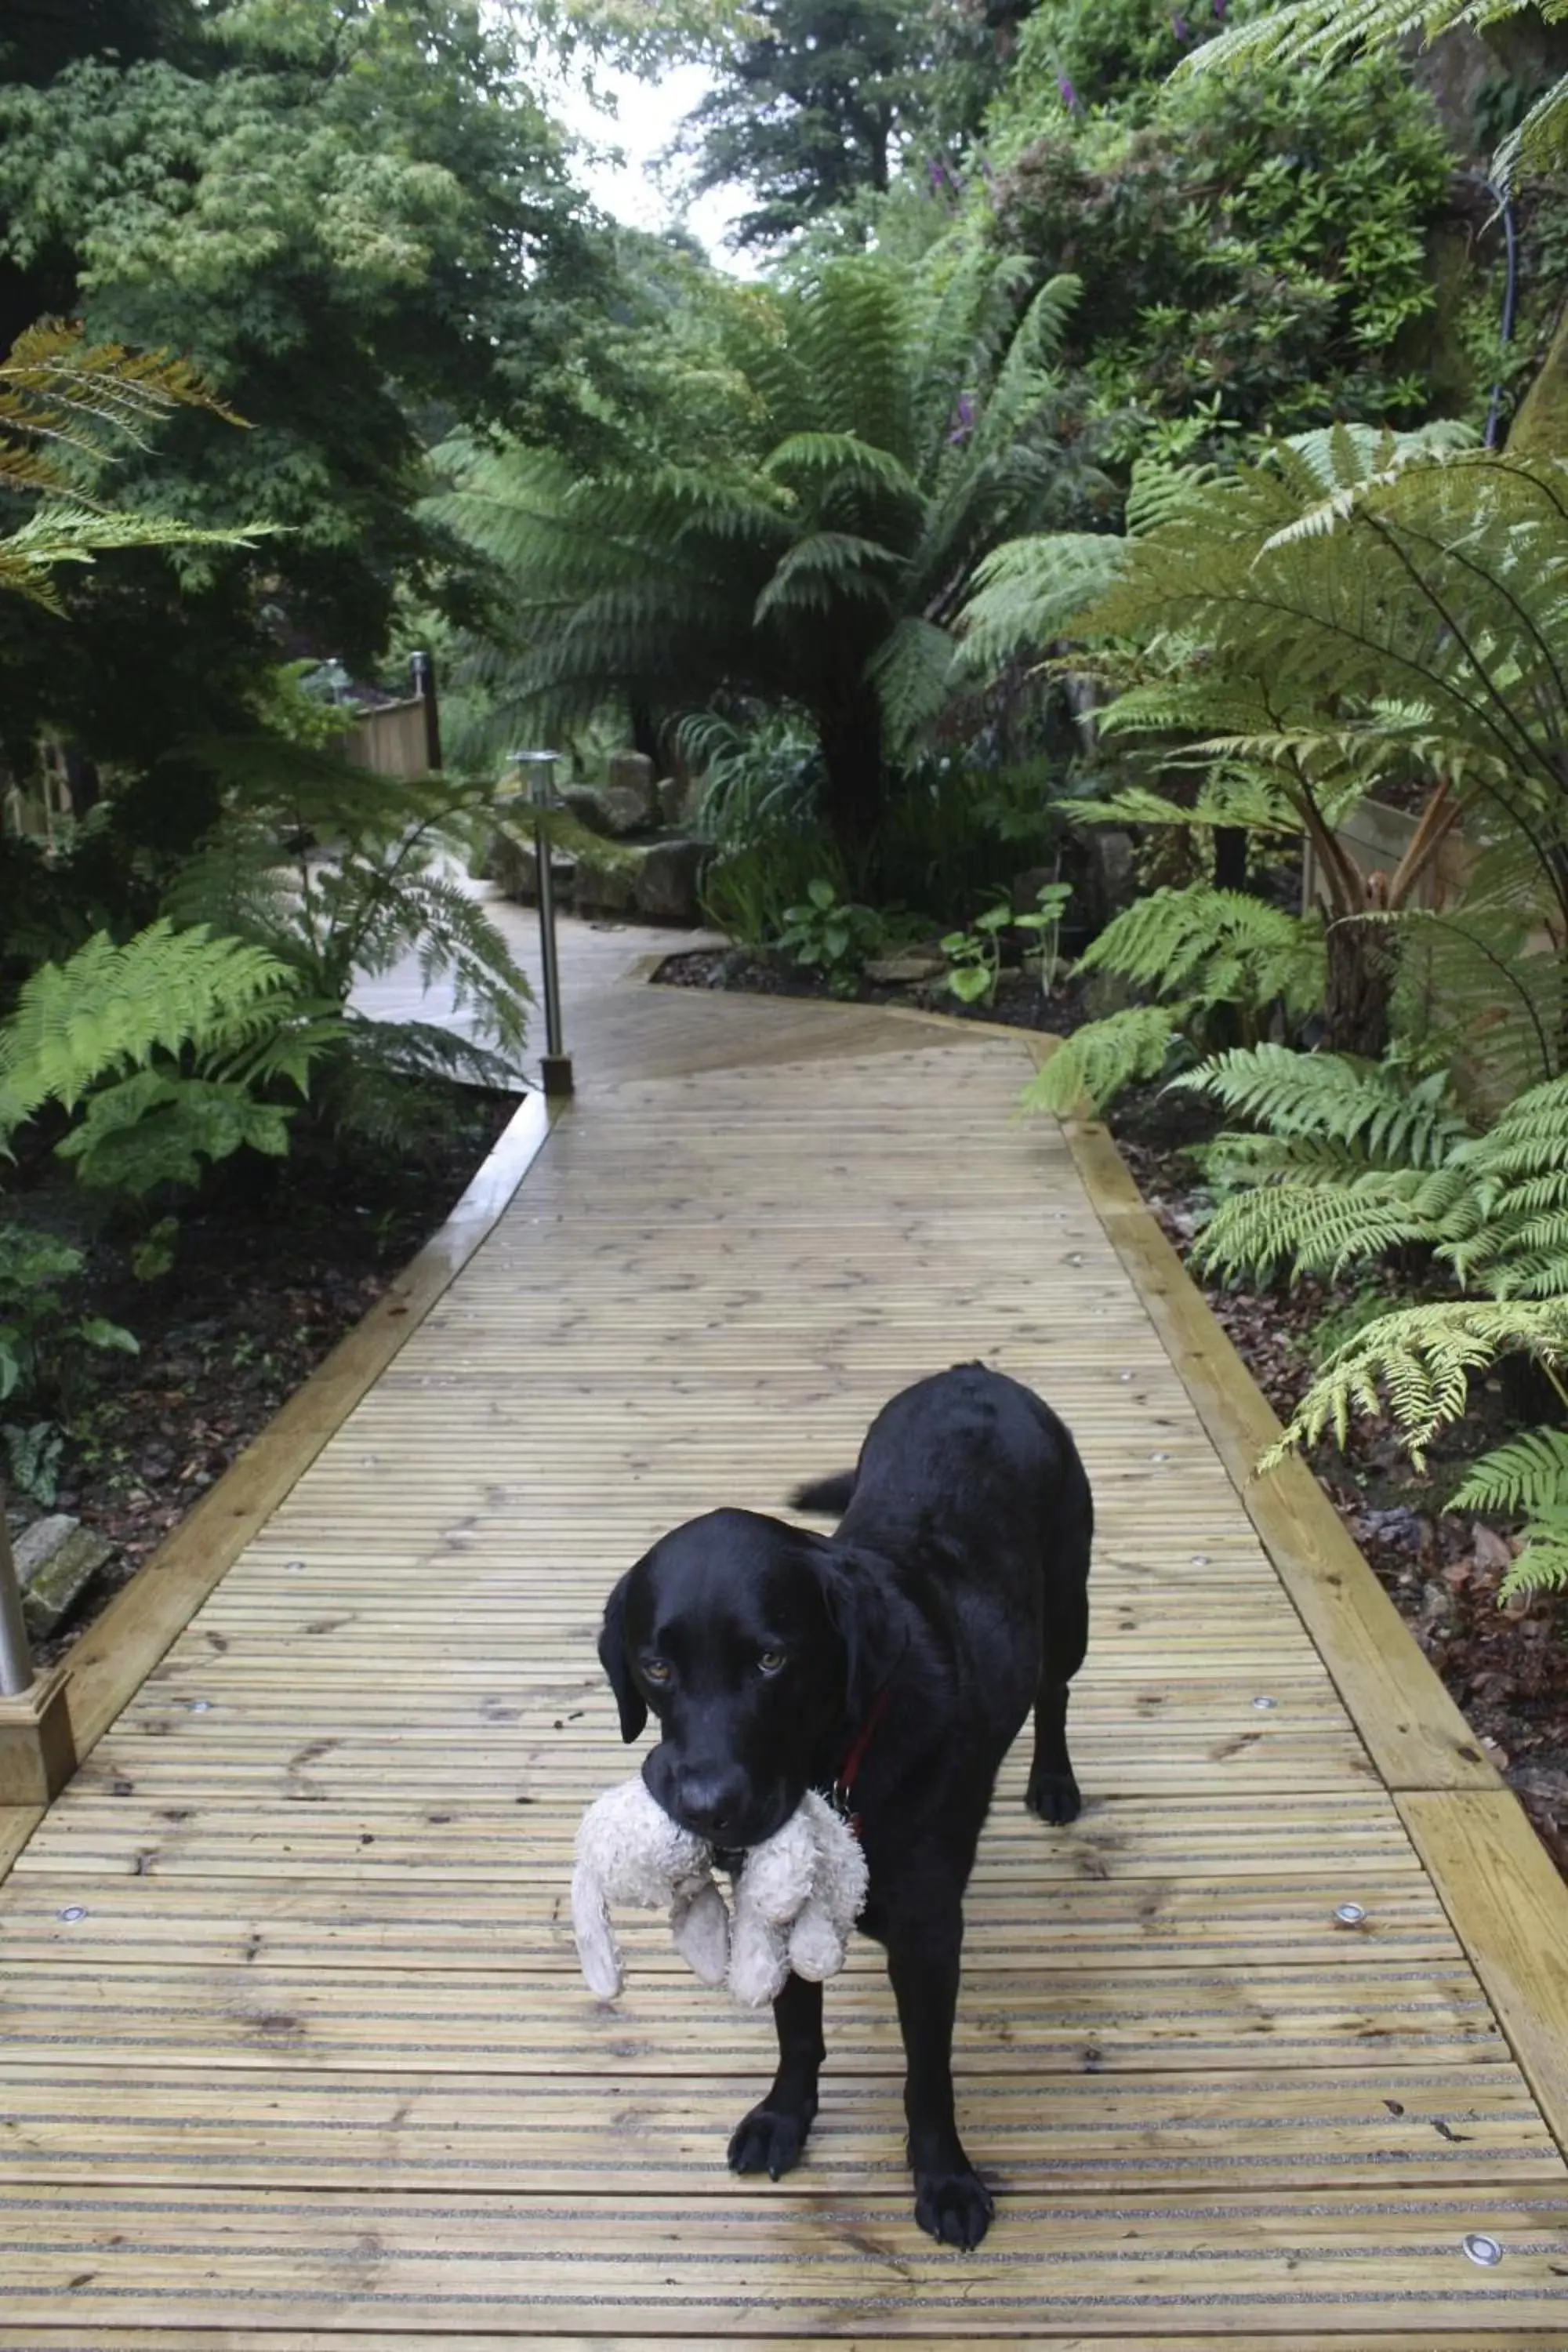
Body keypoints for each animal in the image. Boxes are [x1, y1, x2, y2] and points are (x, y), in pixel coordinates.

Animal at [594, 1364, 1100, 2239]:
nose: (706, 1806)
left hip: (1070, 1606)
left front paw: (944, 2178)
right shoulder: (774, 1895)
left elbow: (927, 2073)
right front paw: (784, 2117)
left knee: (1054, 1687)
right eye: (656, 1667)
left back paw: (1052, 1781)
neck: (838, 1765)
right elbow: (796, 2028)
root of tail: (974, 1371)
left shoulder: (929, 1936)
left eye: (770, 1661)